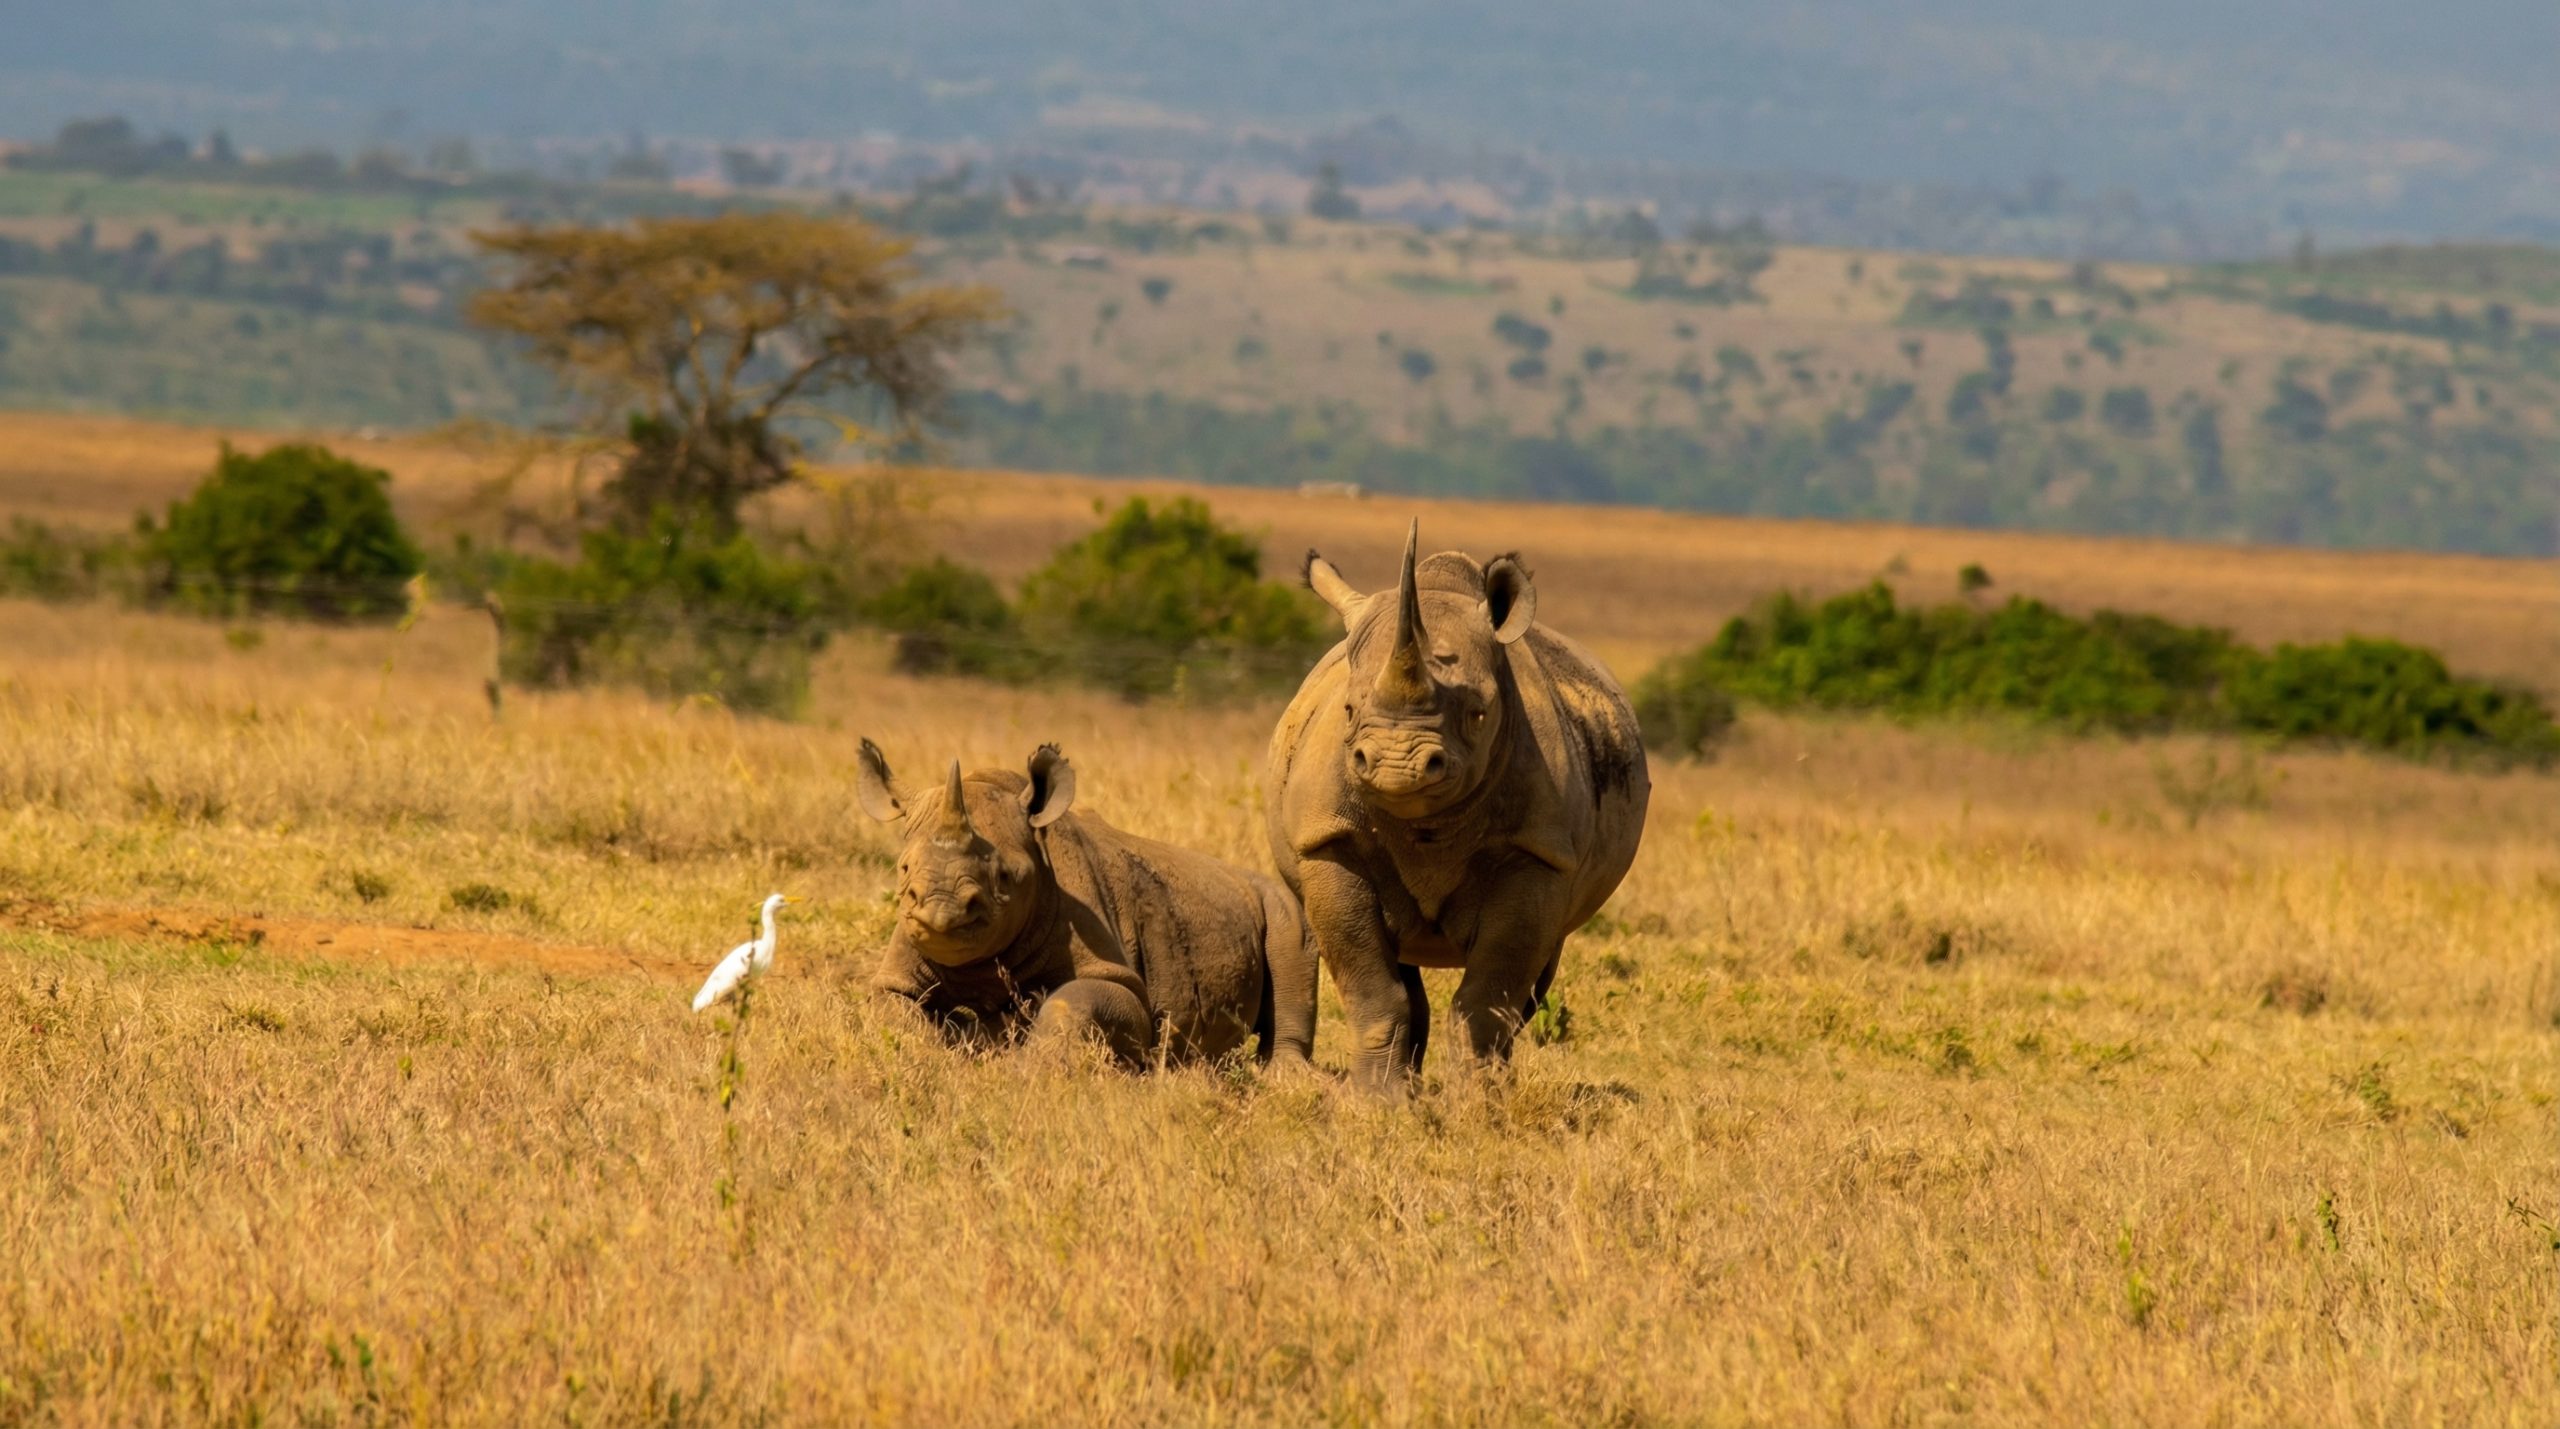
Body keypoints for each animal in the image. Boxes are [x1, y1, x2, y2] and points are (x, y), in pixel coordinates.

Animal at [858, 740, 1317, 1069]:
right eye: (903, 869)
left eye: (1007, 876)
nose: (940, 913)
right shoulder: (897, 973)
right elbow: (894, 1007)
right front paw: (939, 1051)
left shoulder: (1114, 973)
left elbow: (1077, 1000)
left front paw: (1028, 1068)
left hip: (1276, 900)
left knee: (1292, 931)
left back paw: (1284, 1076)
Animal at [1264, 524, 1649, 1093]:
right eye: (1348, 710)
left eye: (1478, 713)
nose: (1396, 766)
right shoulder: (1328, 839)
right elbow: (1370, 984)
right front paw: (1378, 1100)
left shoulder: (1537, 851)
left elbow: (1489, 995)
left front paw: (1480, 1101)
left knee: (1534, 982)